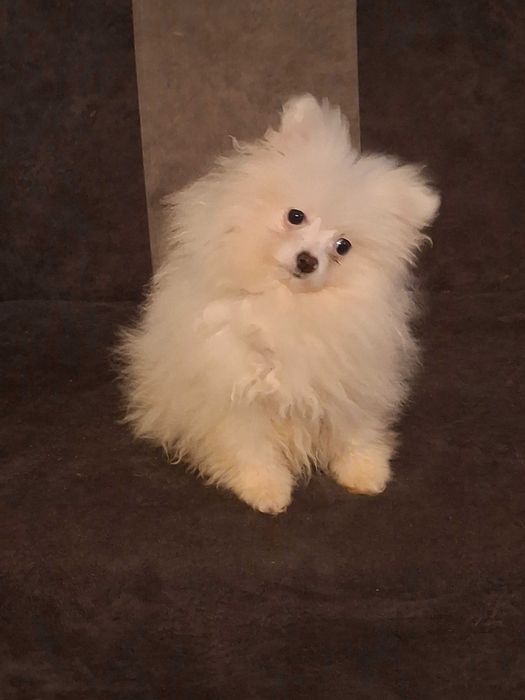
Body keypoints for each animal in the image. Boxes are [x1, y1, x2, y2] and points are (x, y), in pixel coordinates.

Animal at [118, 95, 440, 513]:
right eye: (295, 216)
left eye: (343, 246)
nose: (307, 260)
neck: (290, 305)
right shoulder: (236, 393)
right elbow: (249, 446)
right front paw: (265, 489)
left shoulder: (349, 382)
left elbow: (355, 431)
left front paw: (366, 471)